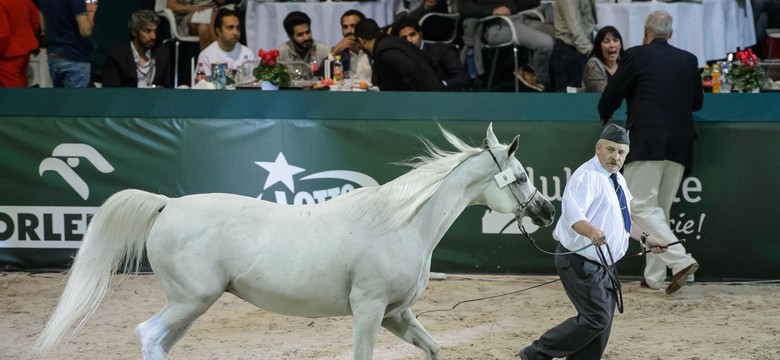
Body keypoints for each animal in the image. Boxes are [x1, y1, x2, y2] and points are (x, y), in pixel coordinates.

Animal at [35, 123, 556, 358]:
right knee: (148, 334)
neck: (401, 224)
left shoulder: (396, 314)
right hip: (191, 300)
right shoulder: (369, 310)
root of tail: (168, 204)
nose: (548, 211)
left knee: (160, 342)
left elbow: (433, 349)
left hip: (190, 306)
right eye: (522, 176)